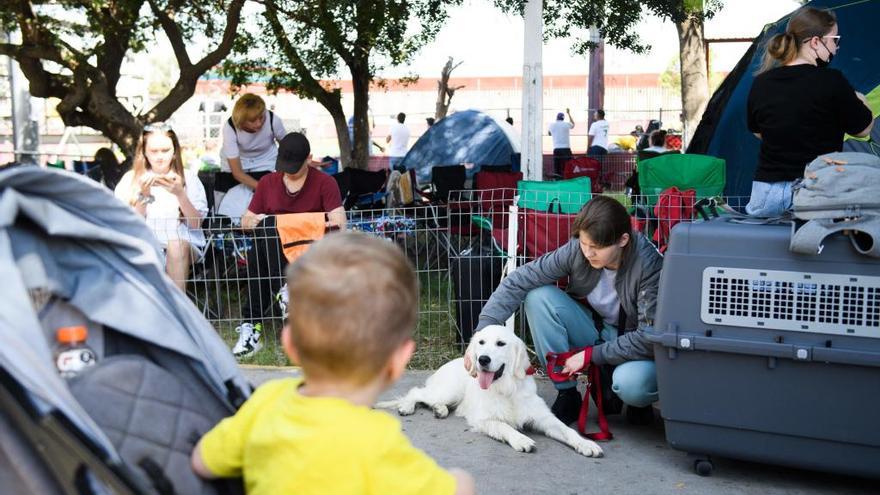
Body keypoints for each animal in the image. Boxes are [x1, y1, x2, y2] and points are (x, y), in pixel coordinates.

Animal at [378, 326, 604, 458]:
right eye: (481, 342)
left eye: (501, 343)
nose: (483, 359)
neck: (507, 389)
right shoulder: (483, 419)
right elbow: (505, 426)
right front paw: (521, 439)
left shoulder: (544, 418)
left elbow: (567, 430)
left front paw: (586, 444)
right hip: (449, 391)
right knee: (416, 392)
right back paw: (407, 407)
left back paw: (440, 410)